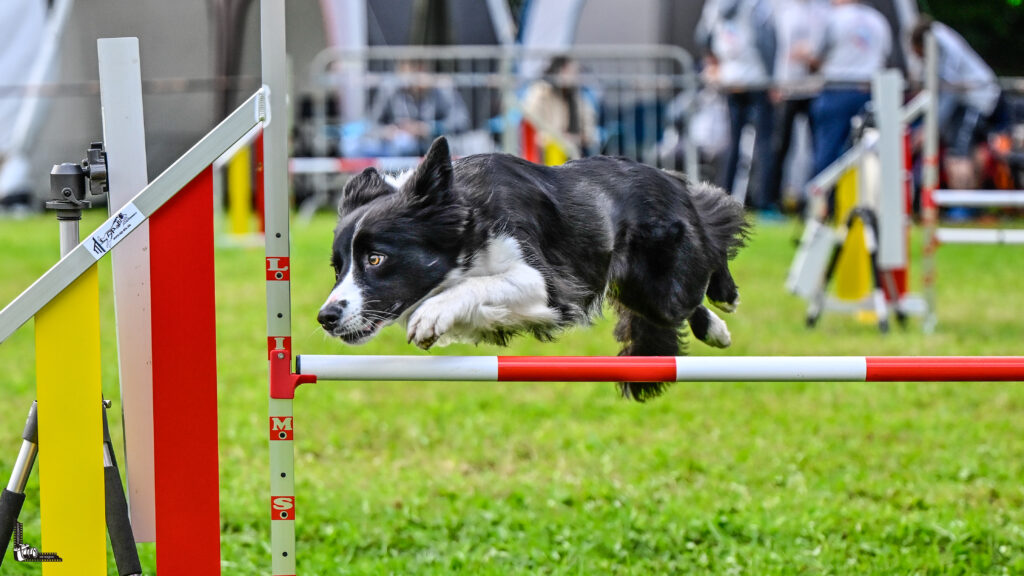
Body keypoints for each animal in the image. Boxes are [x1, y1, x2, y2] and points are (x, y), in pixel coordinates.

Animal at [315, 137, 749, 399]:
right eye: (338, 268)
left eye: (376, 259)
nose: (326, 317)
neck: (468, 216)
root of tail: (669, 179)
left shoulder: (549, 285)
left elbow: (477, 286)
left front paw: (430, 315)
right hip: (641, 290)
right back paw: (715, 326)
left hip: (663, 281)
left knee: (715, 225)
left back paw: (724, 304)